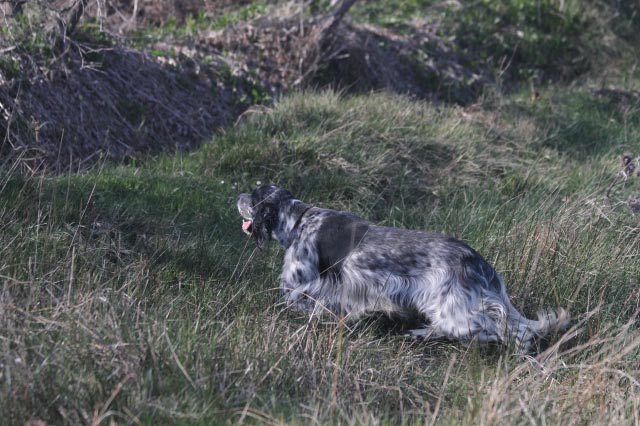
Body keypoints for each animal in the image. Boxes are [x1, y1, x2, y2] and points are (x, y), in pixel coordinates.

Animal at [236, 185, 568, 352]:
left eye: (253, 198)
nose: (237, 196)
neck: (300, 219)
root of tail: (476, 259)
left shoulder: (302, 286)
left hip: (454, 310)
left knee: (500, 329)